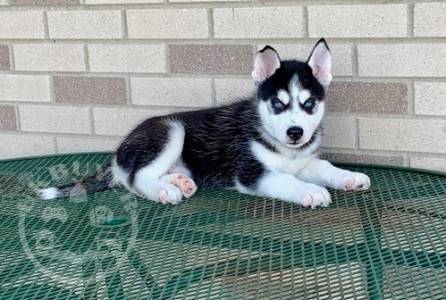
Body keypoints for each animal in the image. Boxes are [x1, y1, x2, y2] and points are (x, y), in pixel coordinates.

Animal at [41, 38, 370, 209]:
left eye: (308, 104)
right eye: (278, 103)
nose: (295, 132)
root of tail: (118, 151)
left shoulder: (303, 162)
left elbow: (324, 167)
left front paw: (349, 176)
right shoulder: (250, 172)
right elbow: (286, 180)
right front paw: (310, 191)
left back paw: (179, 181)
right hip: (170, 130)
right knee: (134, 179)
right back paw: (164, 191)